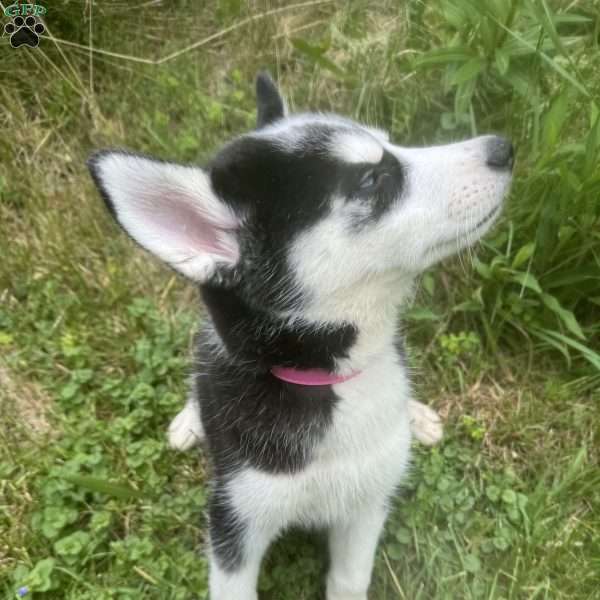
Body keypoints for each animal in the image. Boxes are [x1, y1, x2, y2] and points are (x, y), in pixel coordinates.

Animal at [88, 74, 510, 600]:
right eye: (371, 180)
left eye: (393, 143)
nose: (504, 148)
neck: (330, 381)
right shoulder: (234, 521)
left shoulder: (366, 506)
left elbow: (349, 580)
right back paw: (190, 419)